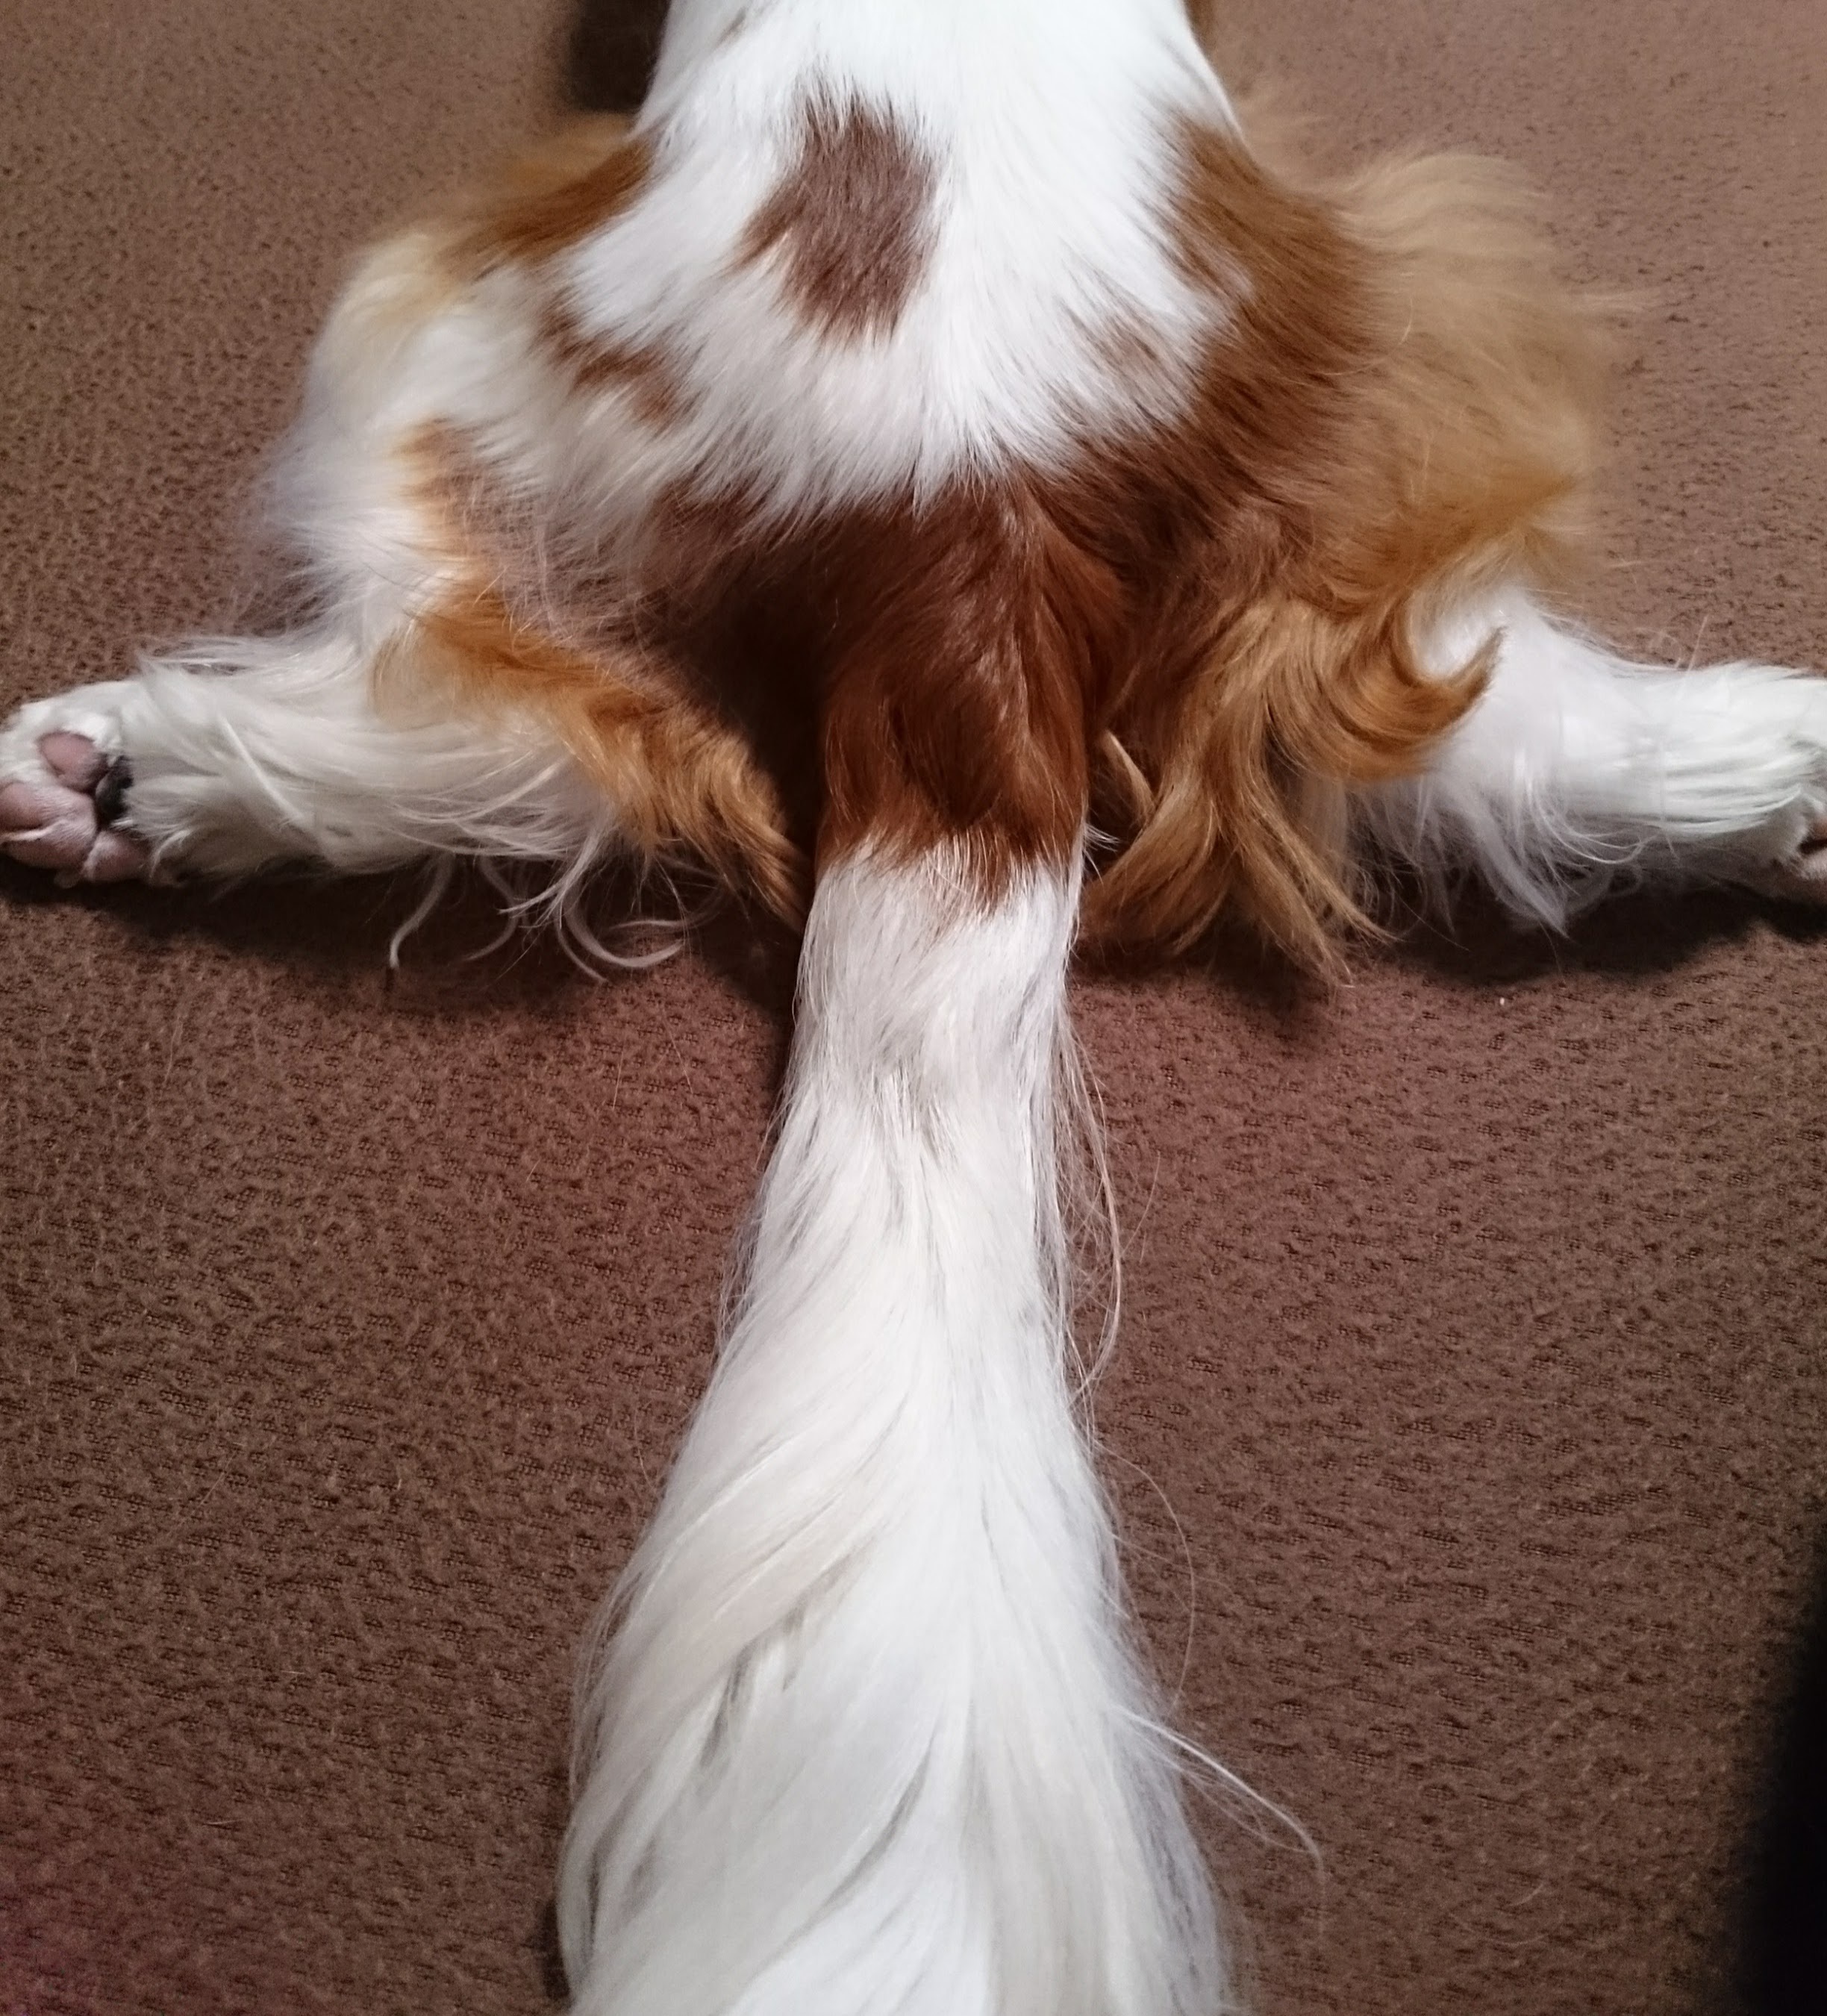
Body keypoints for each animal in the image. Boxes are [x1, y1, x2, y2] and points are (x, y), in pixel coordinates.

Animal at [5, 2, 1822, 2011]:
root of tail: (977, 531)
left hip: (432, 332)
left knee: (546, 752)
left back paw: (130, 777)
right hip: (1346, 419)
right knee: (1431, 731)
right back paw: (1777, 777)